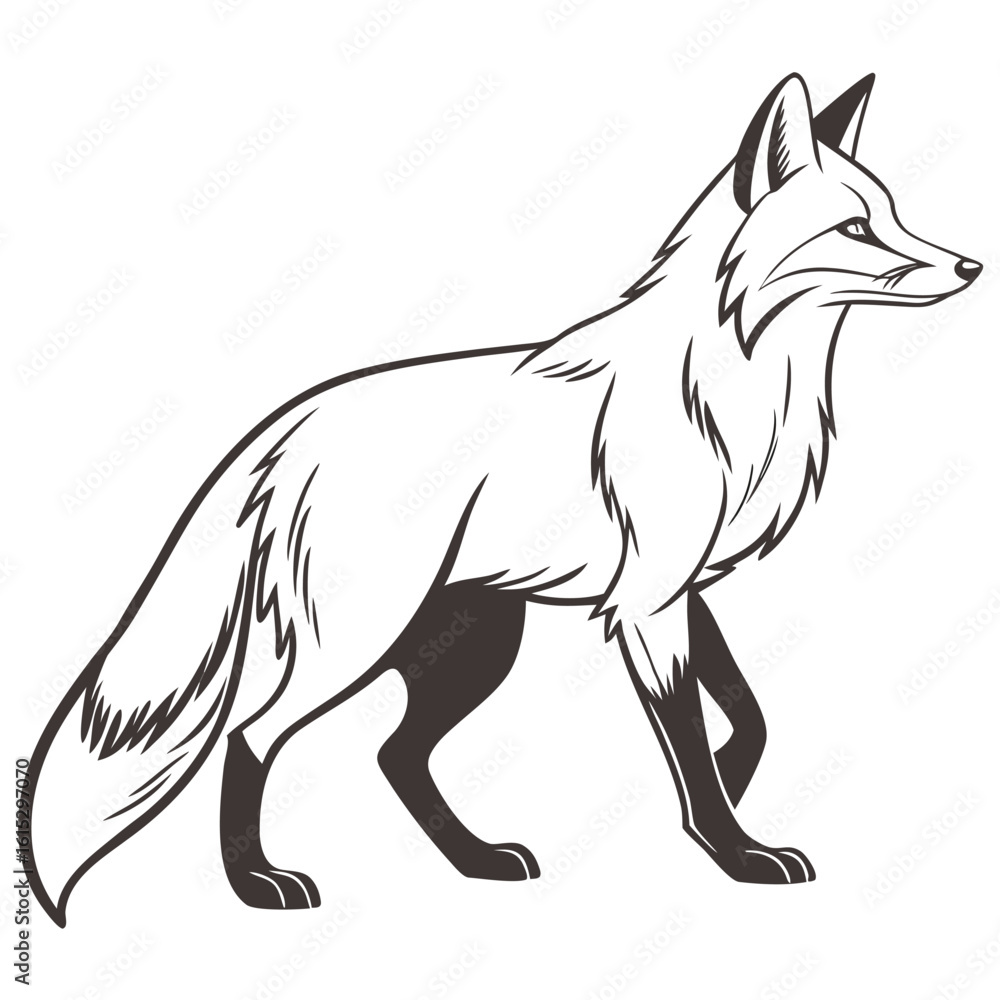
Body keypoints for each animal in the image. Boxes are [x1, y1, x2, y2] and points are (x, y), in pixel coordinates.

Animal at [26, 72, 982, 926]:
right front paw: (735, 848)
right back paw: (258, 883)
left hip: (474, 648)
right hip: (357, 645)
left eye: (896, 216)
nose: (972, 265)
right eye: (856, 229)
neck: (733, 387)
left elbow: (749, 716)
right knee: (252, 735)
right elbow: (694, 737)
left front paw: (726, 786)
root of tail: (284, 427)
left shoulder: (680, 590)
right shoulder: (649, 604)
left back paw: (476, 860)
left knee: (394, 754)